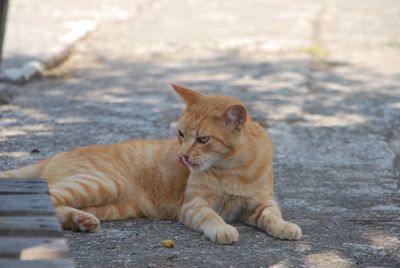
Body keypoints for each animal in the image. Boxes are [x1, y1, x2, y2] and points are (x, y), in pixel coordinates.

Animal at [0, 85, 300, 244]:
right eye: (180, 134)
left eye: (203, 139)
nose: (182, 157)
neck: (234, 169)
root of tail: (55, 155)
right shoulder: (193, 205)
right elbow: (212, 217)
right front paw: (223, 229)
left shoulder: (260, 204)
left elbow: (273, 215)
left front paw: (285, 226)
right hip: (102, 183)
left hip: (111, 204)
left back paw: (80, 221)